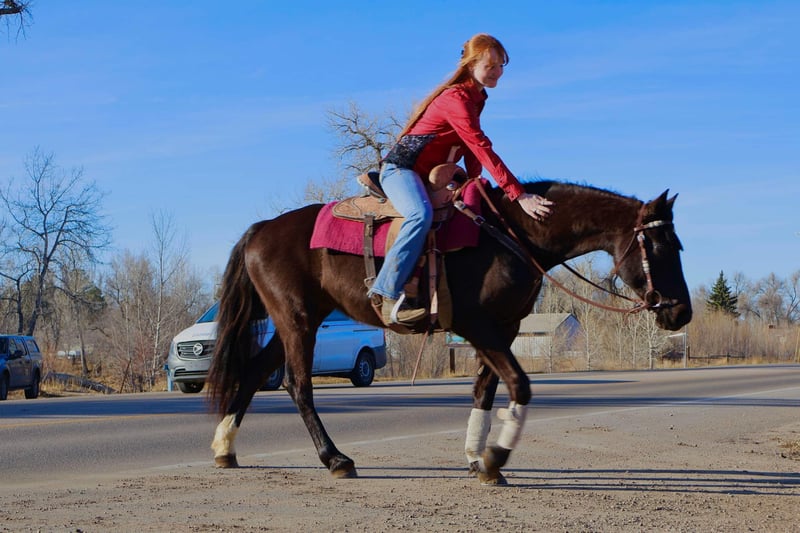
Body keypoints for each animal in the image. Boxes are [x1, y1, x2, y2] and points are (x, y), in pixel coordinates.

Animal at [206, 179, 692, 484]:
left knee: (253, 373)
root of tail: (261, 230)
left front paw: (478, 458)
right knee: (297, 384)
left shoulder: (504, 327)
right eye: (662, 246)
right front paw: (495, 458)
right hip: (298, 319)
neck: (511, 234)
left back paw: (225, 449)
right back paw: (335, 459)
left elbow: (485, 390)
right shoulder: (475, 324)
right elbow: (519, 384)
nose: (682, 312)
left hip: (294, 319)